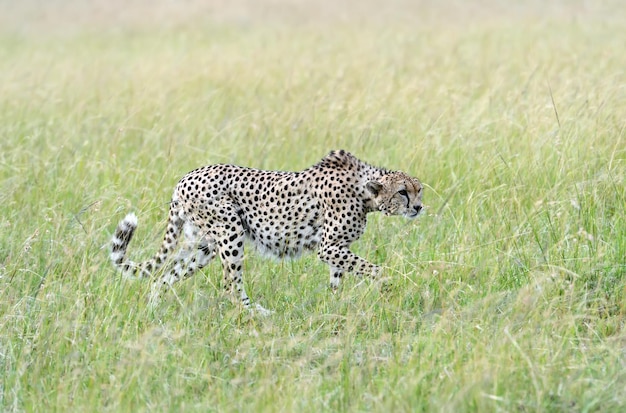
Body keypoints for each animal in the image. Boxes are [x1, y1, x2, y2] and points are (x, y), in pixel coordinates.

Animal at [111, 150, 424, 314]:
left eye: (418, 190)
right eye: (402, 192)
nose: (419, 207)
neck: (365, 193)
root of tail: (184, 179)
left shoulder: (337, 249)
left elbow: (338, 279)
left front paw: (335, 305)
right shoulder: (329, 247)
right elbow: (376, 269)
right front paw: (387, 288)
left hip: (202, 245)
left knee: (162, 278)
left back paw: (153, 310)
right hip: (230, 229)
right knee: (230, 285)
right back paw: (256, 313)